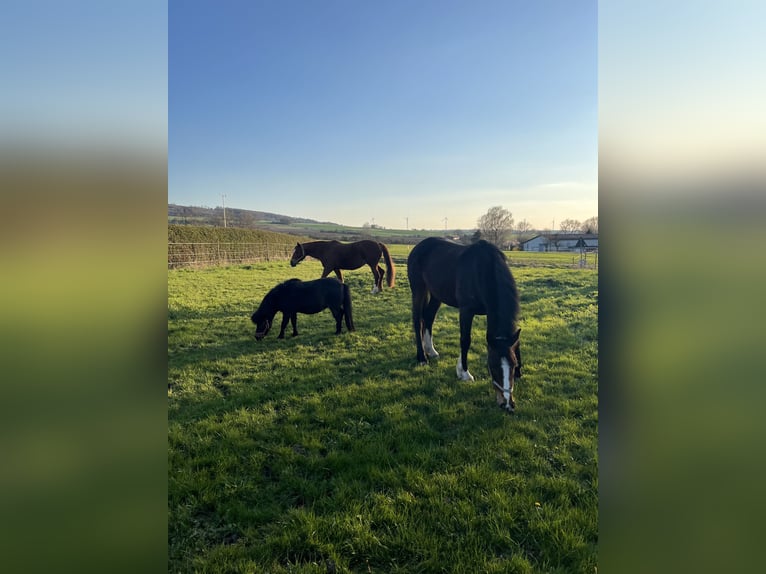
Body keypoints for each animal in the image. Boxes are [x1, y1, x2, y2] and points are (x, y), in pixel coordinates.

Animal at [407, 237, 522, 413]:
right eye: (493, 366)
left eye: (514, 365)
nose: (507, 404)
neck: (483, 270)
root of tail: (419, 246)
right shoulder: (466, 310)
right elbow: (465, 340)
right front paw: (465, 373)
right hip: (418, 290)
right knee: (417, 321)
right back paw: (422, 357)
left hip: (436, 294)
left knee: (428, 317)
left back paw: (431, 350)